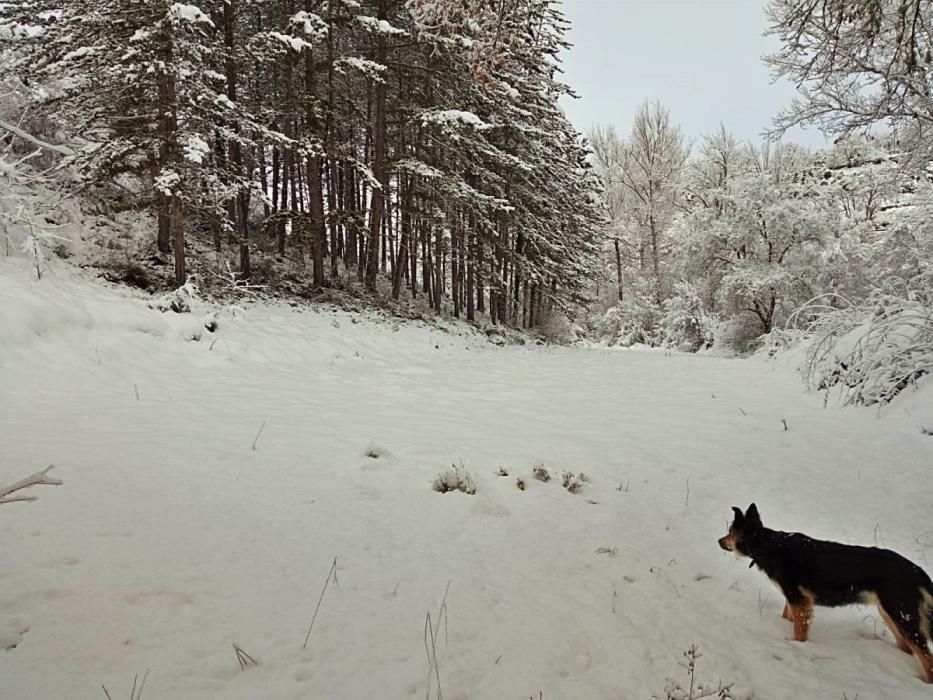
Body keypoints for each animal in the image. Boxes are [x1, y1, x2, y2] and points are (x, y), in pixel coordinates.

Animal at [720, 504, 932, 684]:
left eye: (730, 533)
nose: (718, 541)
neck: (765, 544)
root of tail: (917, 571)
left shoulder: (800, 602)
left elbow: (799, 634)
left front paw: (798, 648)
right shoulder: (794, 600)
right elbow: (787, 616)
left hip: (902, 617)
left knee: (927, 658)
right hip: (891, 615)